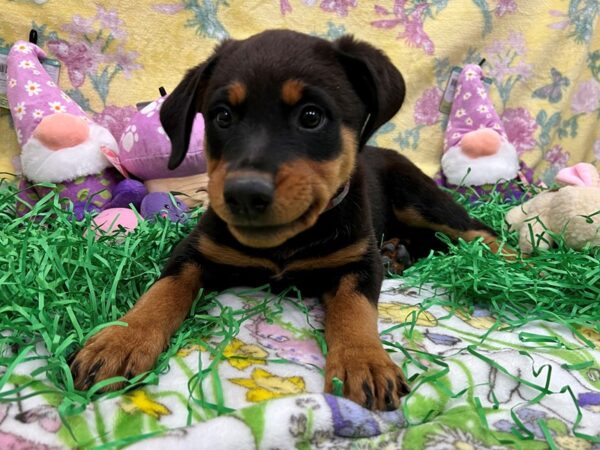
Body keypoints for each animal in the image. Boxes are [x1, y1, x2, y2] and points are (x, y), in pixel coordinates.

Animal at [71, 29, 502, 412]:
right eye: (222, 117)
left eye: (311, 116)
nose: (244, 194)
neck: (286, 243)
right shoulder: (194, 250)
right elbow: (162, 291)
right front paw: (120, 342)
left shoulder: (358, 262)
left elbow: (355, 308)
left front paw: (364, 361)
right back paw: (398, 252)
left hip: (420, 199)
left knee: (476, 230)